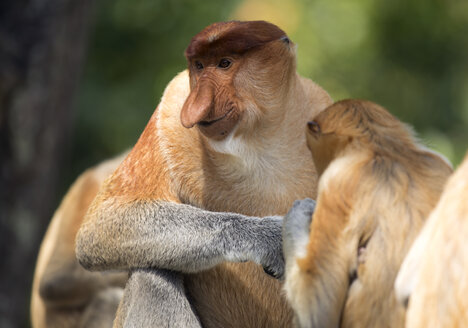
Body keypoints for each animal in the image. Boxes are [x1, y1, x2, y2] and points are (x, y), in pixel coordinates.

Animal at [76, 21, 332, 328]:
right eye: (198, 66)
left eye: (225, 63)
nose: (196, 107)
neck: (257, 140)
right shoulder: (171, 110)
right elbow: (102, 223)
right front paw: (272, 236)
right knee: (151, 275)